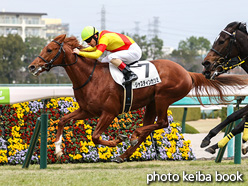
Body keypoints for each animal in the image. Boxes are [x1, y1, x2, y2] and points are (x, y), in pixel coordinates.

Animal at [29, 34, 246, 162]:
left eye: (49, 50)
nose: (32, 66)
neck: (90, 77)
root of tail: (187, 72)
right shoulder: (87, 110)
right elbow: (62, 120)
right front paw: (58, 150)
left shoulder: (109, 112)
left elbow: (95, 136)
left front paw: (118, 139)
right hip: (151, 103)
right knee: (149, 128)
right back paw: (125, 152)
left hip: (162, 98)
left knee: (162, 123)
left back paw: (132, 136)